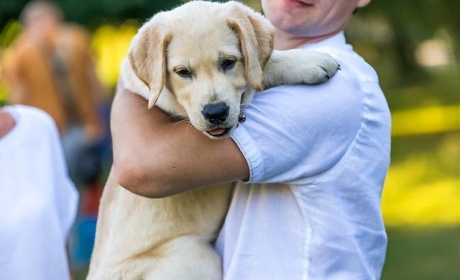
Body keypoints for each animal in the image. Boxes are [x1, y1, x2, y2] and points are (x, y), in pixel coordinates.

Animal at [87, 1, 338, 278]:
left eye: (228, 62)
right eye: (182, 72)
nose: (215, 113)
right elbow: (263, 71)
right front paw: (308, 60)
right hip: (195, 256)